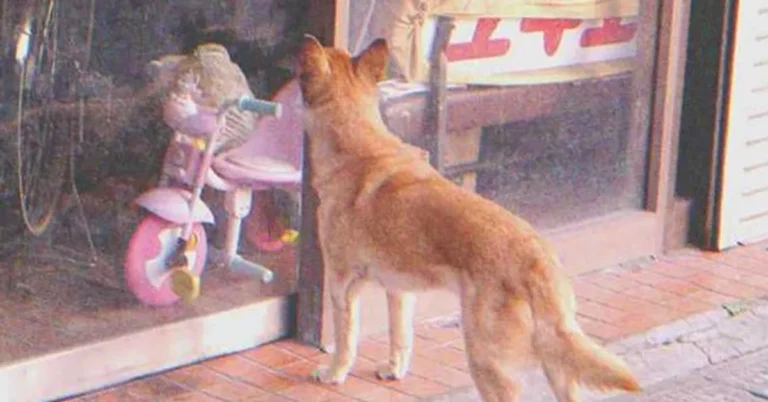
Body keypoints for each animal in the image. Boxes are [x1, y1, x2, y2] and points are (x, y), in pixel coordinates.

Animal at [296, 35, 640, 402]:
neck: (359, 143)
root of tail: (536, 256)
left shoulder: (342, 285)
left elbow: (345, 341)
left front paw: (333, 374)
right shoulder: (400, 291)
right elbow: (400, 336)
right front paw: (394, 370)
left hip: (485, 358)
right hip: (556, 359)